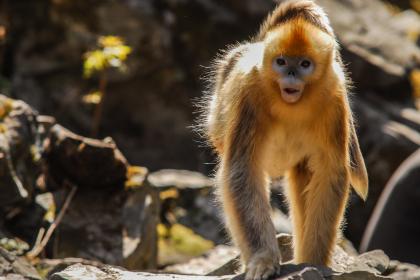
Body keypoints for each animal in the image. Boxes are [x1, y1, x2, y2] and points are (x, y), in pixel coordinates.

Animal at [199, 0, 368, 280]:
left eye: (304, 64)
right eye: (281, 61)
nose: (290, 73)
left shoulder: (334, 101)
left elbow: (331, 172)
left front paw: (315, 261)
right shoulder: (250, 94)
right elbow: (242, 171)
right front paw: (263, 260)